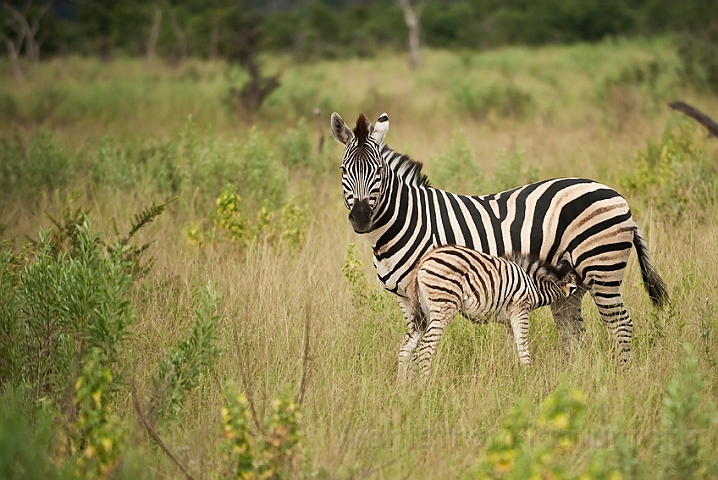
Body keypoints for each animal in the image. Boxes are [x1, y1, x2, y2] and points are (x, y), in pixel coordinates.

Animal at [404, 248, 580, 378]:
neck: (534, 286)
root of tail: (425, 259)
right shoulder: (520, 310)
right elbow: (523, 346)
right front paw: (527, 375)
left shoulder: (509, 319)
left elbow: (512, 346)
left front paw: (510, 372)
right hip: (443, 306)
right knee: (425, 348)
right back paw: (424, 385)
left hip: (424, 312)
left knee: (408, 345)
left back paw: (405, 387)